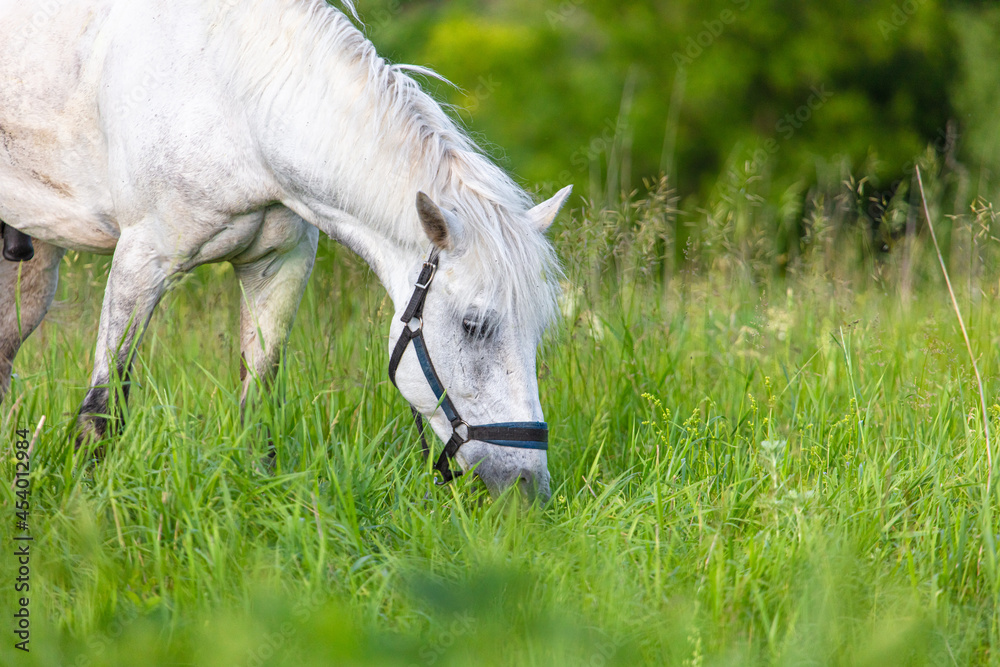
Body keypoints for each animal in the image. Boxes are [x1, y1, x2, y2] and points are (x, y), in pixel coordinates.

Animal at [0, 0, 571, 501]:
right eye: (475, 325)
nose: (527, 487)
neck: (236, 97)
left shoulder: (278, 267)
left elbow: (258, 406)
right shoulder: (143, 259)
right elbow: (101, 411)